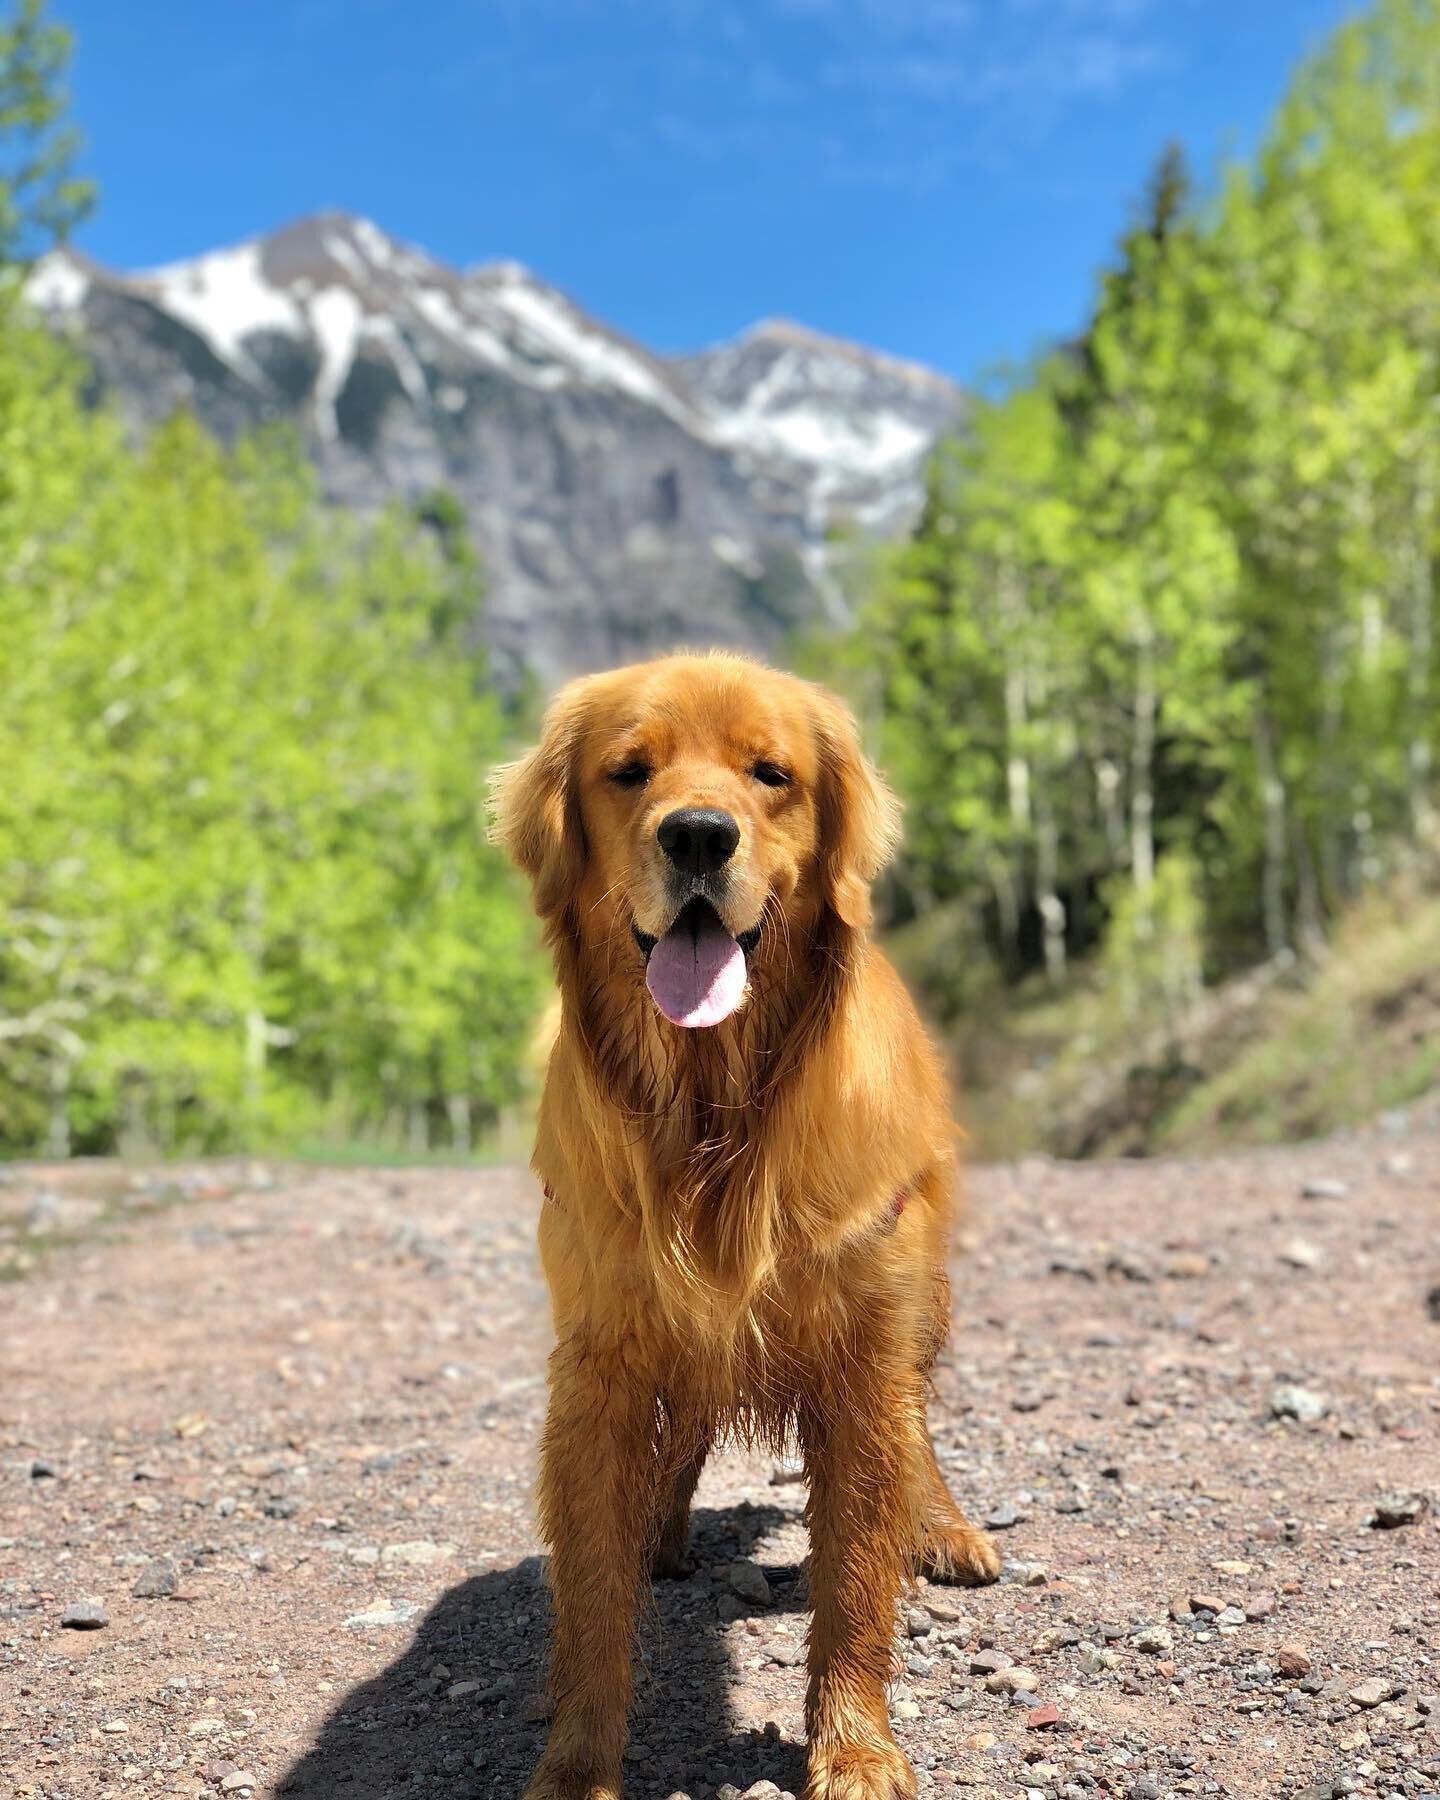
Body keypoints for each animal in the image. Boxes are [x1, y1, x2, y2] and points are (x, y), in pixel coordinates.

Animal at [489, 655, 993, 1800]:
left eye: (772, 773)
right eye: (629, 771)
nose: (697, 836)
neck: (711, 1105)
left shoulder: (859, 1357)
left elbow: (853, 1578)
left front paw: (854, 1749)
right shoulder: (600, 1358)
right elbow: (592, 1597)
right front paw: (578, 1763)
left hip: (922, 1293)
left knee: (920, 1422)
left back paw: (942, 1527)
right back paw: (662, 1530)